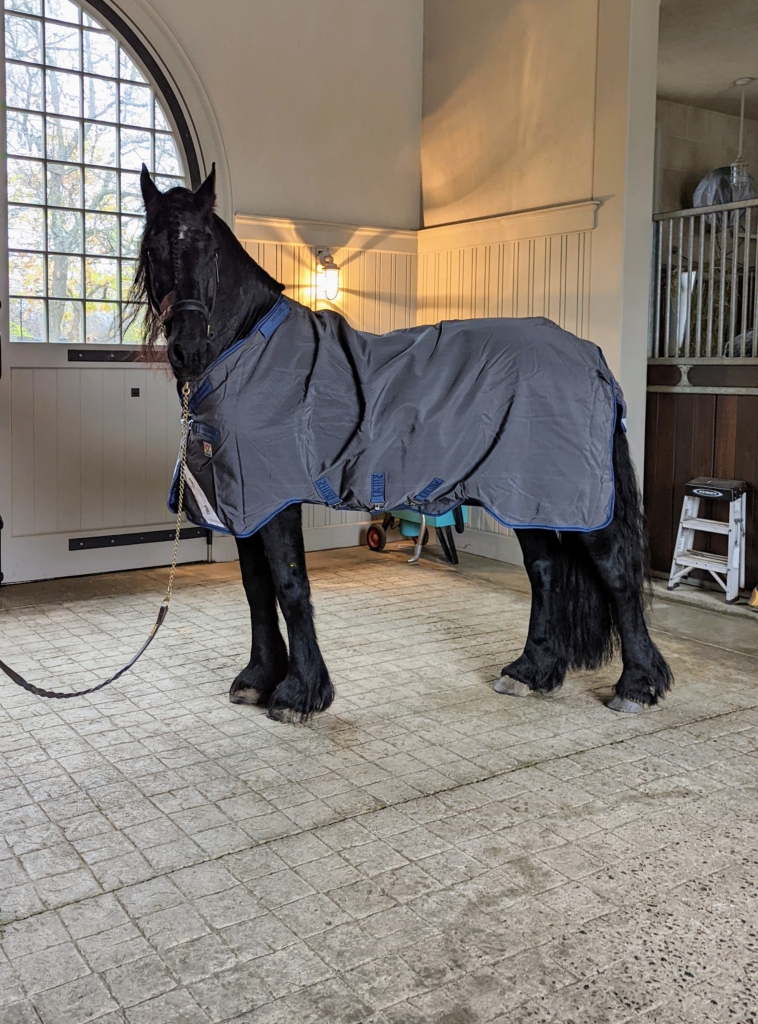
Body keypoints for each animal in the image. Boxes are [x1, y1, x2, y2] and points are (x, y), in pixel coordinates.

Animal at [133, 165, 673, 723]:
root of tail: (592, 356)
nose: (189, 349)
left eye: (207, 247)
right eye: (152, 248)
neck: (248, 349)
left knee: (616, 572)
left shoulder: (274, 500)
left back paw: (637, 685)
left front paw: (300, 694)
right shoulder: (243, 505)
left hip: (575, 498)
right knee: (544, 571)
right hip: (527, 497)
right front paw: (259, 678)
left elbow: (289, 585)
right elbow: (256, 589)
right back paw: (530, 671)